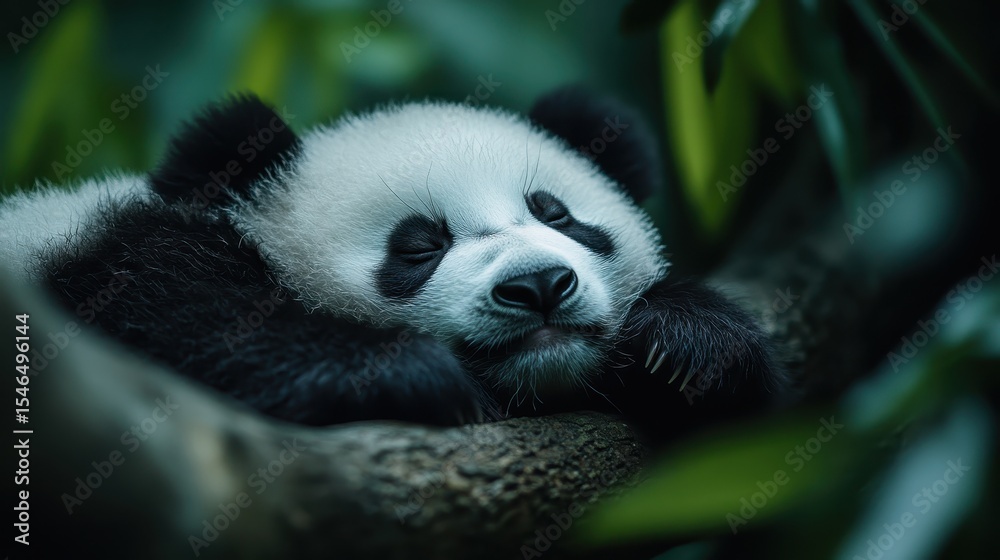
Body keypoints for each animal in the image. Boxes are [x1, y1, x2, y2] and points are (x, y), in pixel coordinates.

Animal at [0, 89, 783, 436]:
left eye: (556, 214)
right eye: (417, 246)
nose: (538, 286)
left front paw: (688, 341)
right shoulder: (98, 254)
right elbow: (181, 311)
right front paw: (407, 374)